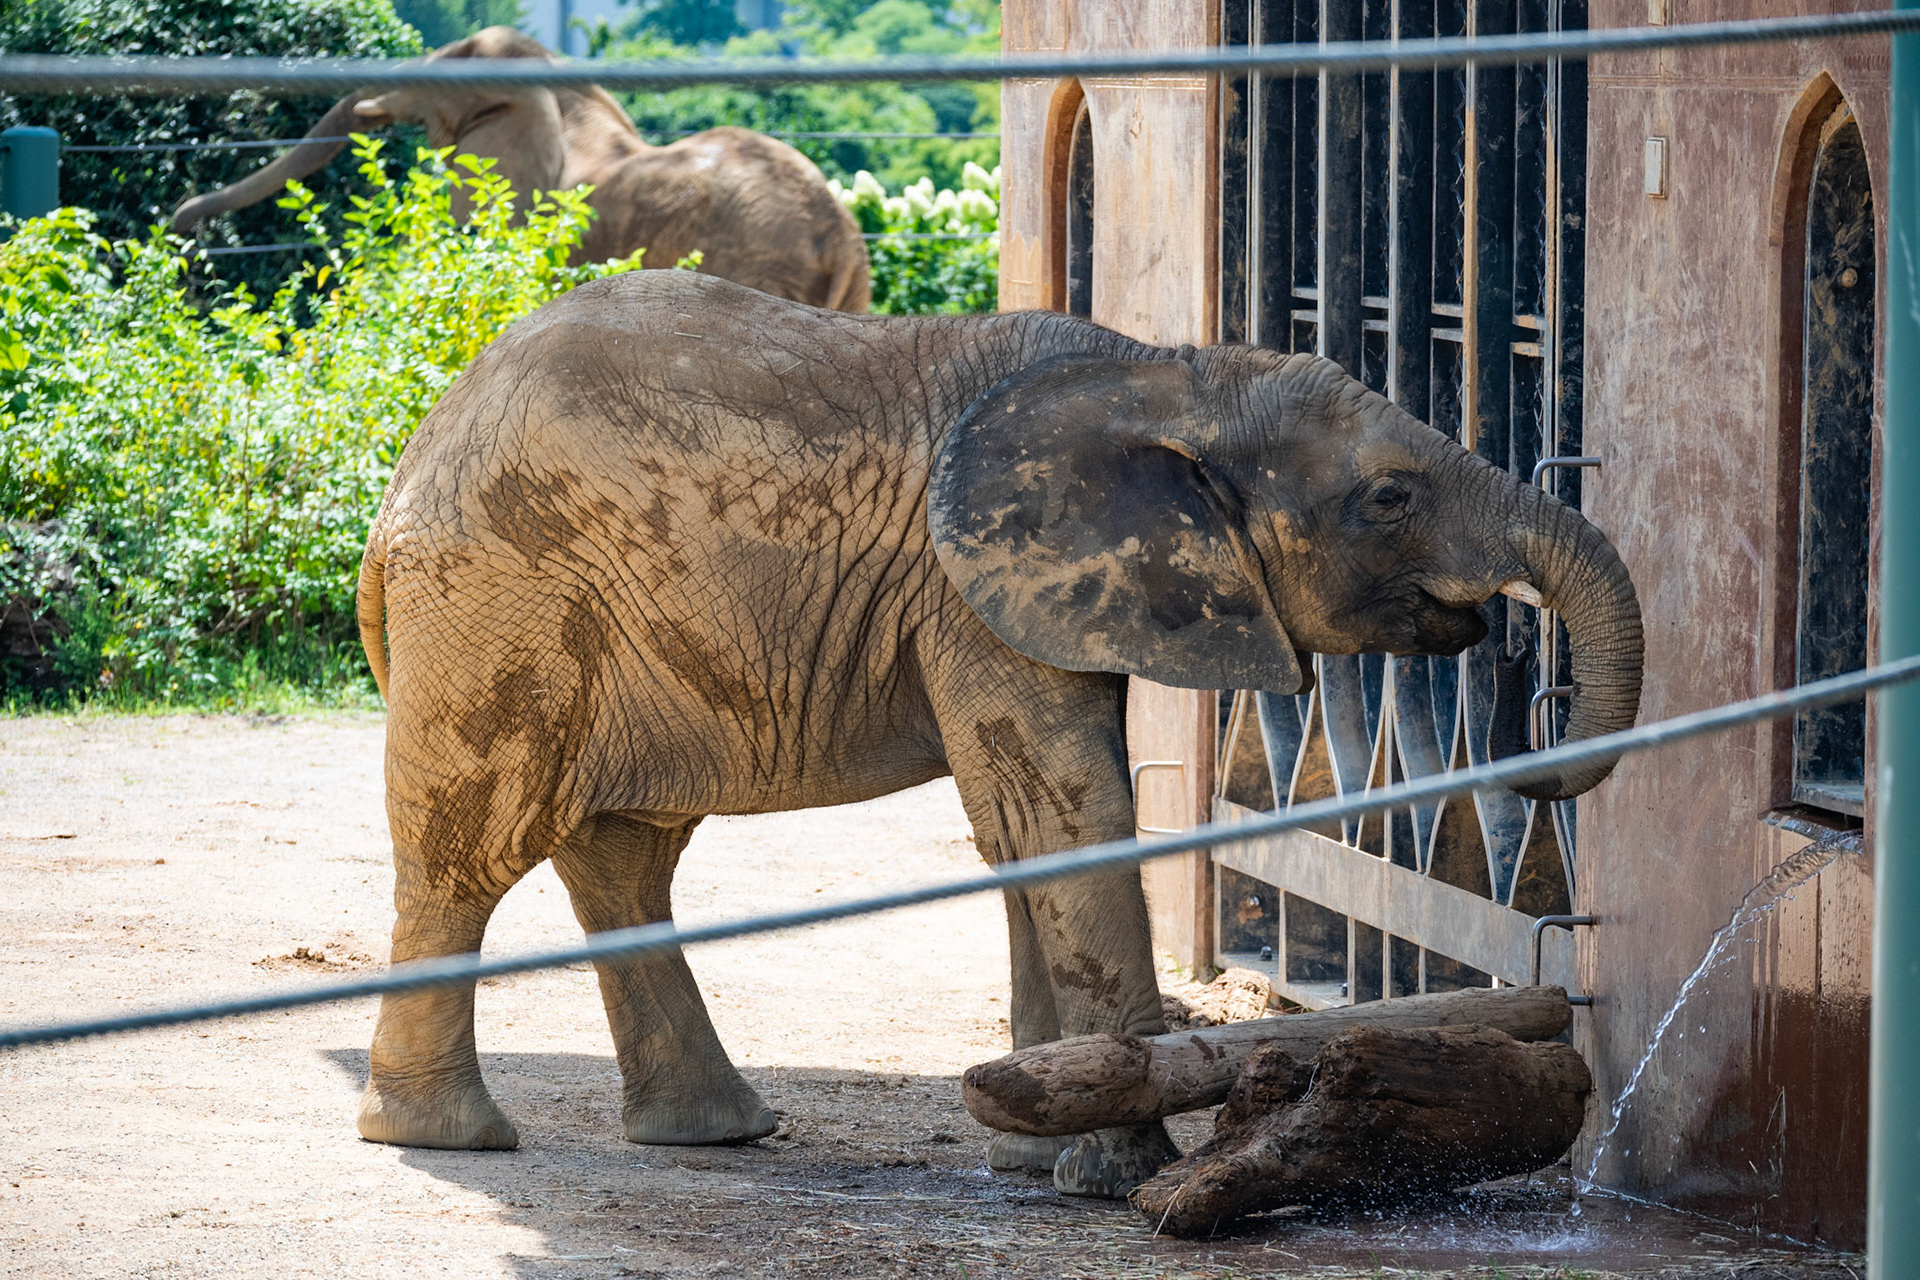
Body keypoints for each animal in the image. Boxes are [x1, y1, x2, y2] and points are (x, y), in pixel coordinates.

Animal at [352, 271, 1643, 1197]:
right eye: (1388, 498)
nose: (1542, 720)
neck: (1167, 374)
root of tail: (412, 463)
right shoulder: (975, 589)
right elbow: (1068, 808)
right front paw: (1120, 1177)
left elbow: (1029, 827)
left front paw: (1033, 1143)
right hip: (499, 602)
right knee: (472, 852)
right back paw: (451, 1136)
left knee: (625, 855)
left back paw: (714, 1133)